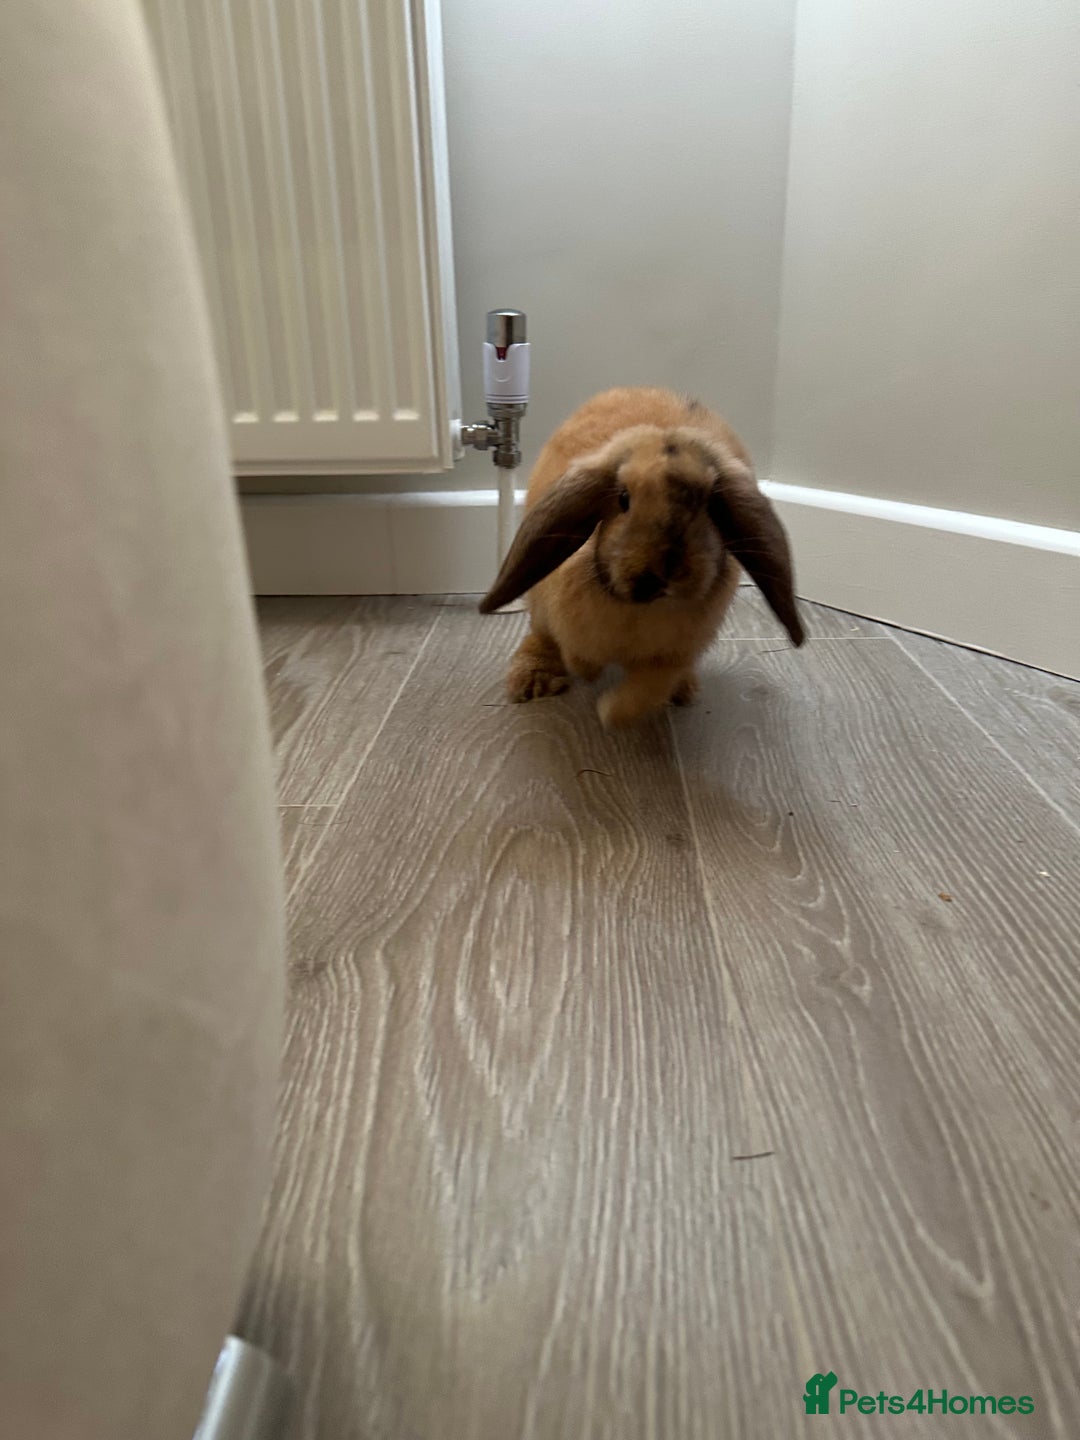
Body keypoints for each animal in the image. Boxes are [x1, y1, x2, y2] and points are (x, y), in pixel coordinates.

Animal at [478, 387, 805, 729]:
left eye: (711, 505)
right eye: (623, 499)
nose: (667, 570)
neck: (644, 610)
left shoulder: (672, 658)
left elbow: (642, 695)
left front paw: (608, 712)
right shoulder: (568, 623)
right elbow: (578, 656)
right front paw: (589, 676)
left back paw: (684, 690)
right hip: (540, 609)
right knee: (540, 638)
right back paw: (532, 682)